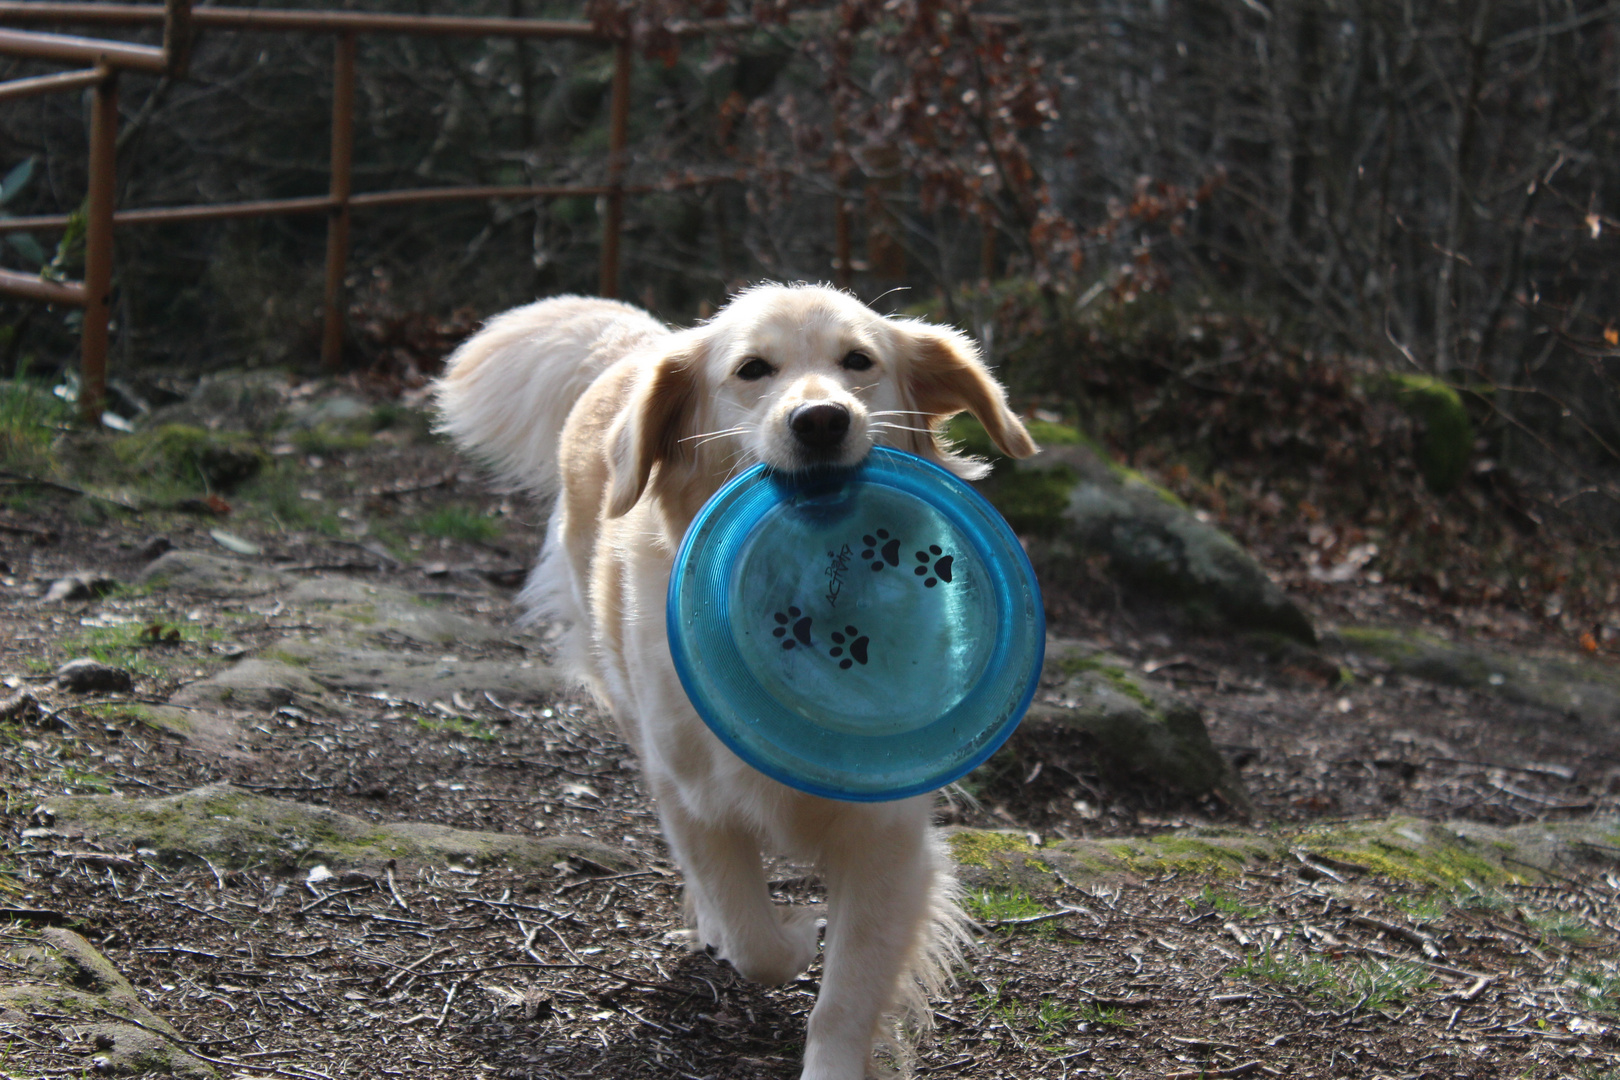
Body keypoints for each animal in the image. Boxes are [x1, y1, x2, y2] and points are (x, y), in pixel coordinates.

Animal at [437, 283, 1030, 1075]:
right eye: (752, 370)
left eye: (858, 361)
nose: (822, 420)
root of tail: (641, 343)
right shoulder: (698, 799)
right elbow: (755, 938)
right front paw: (794, 930)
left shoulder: (887, 835)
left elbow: (846, 997)